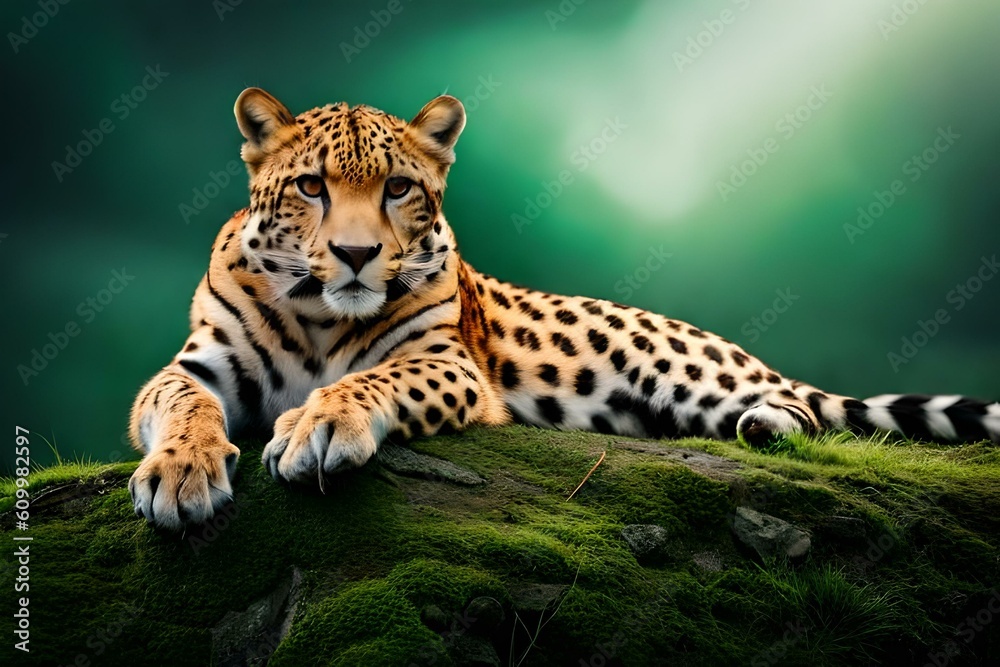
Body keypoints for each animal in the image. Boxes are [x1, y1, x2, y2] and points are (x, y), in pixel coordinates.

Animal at [127, 88, 1000, 530]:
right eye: (311, 186)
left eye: (398, 187)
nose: (354, 254)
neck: (318, 313)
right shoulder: (195, 367)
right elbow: (181, 407)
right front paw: (180, 473)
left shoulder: (445, 364)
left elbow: (368, 382)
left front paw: (318, 423)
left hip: (683, 367)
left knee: (803, 410)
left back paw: (765, 423)